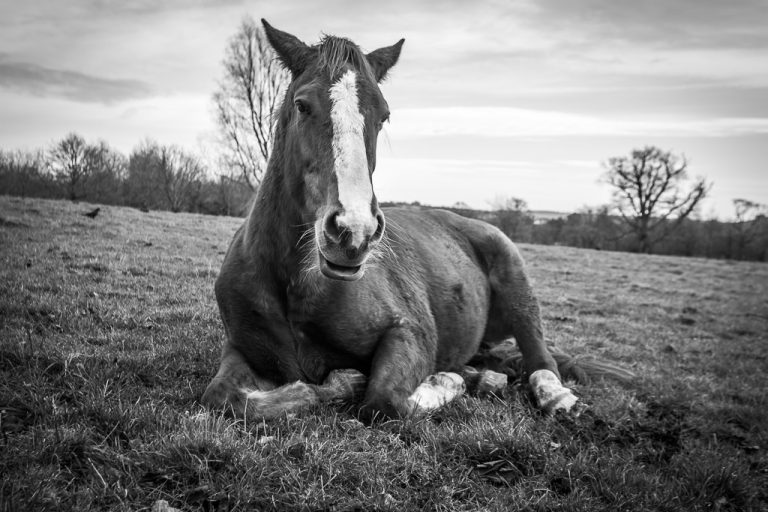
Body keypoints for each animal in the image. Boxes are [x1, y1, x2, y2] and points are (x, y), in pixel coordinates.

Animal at [202, 20, 586, 420]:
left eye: (383, 115)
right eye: (302, 105)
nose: (353, 232)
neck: (295, 282)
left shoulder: (409, 332)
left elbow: (384, 400)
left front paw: (442, 382)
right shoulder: (241, 348)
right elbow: (224, 396)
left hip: (518, 290)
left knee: (541, 359)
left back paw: (552, 396)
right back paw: (483, 377)